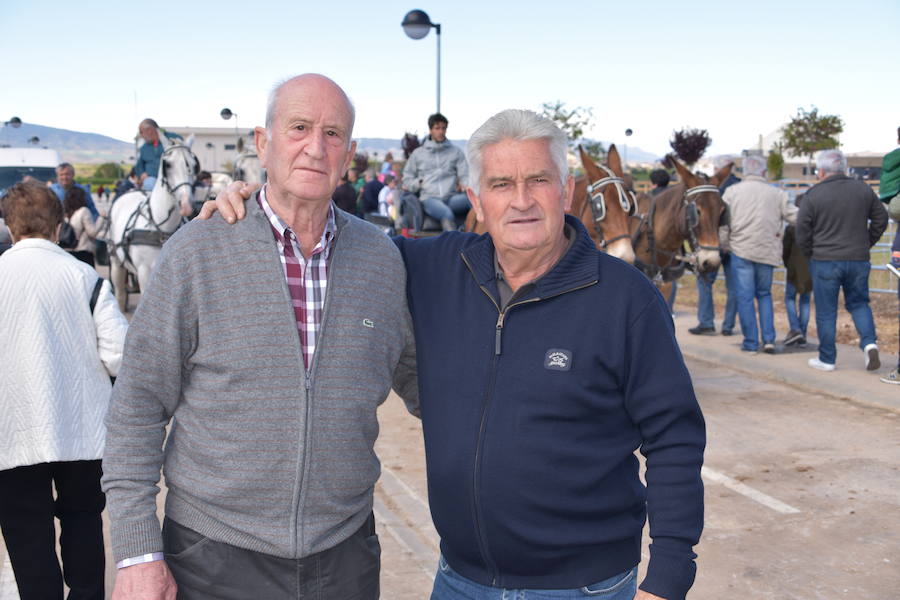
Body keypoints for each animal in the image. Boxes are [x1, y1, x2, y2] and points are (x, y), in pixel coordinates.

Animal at [107, 138, 197, 312]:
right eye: (167, 164)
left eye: (193, 164)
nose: (186, 204)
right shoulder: (144, 272)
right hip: (116, 261)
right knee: (120, 292)